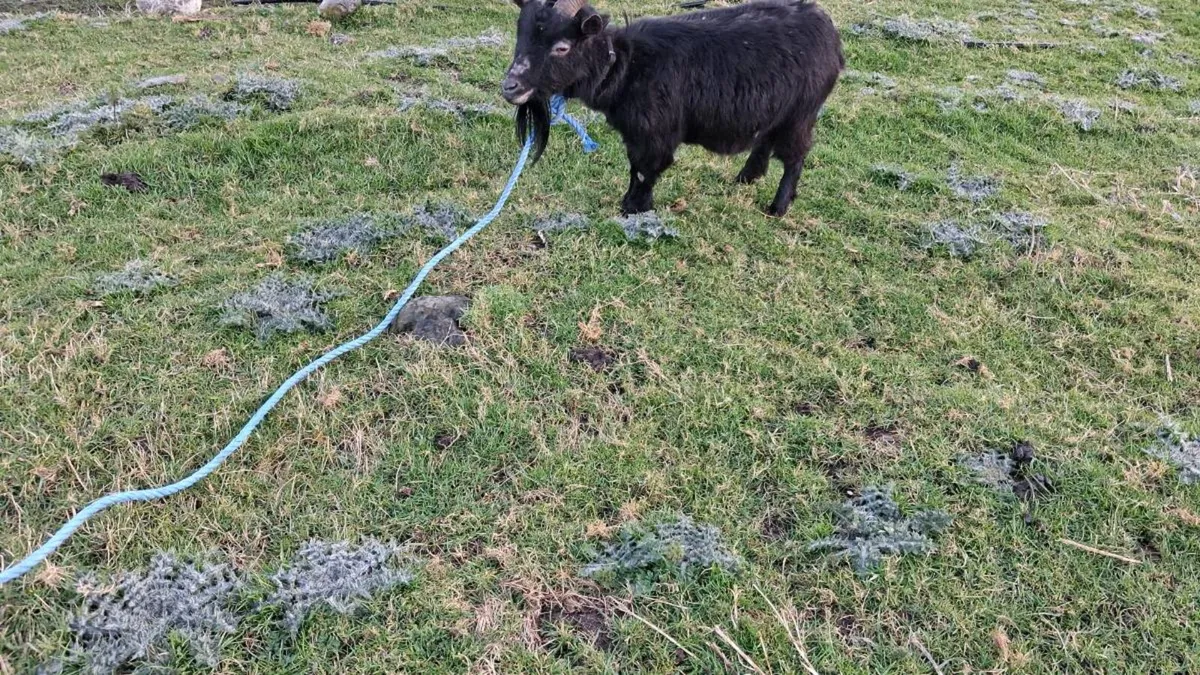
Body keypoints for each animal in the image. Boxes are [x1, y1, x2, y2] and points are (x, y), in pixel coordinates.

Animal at [501, 0, 844, 217]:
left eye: (562, 47)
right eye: (521, 36)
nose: (510, 87)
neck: (626, 64)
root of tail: (828, 29)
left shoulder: (655, 133)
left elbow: (645, 169)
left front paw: (634, 208)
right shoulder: (636, 135)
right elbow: (635, 168)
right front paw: (632, 204)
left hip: (801, 113)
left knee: (795, 156)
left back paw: (778, 207)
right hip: (777, 111)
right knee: (766, 142)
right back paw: (746, 178)